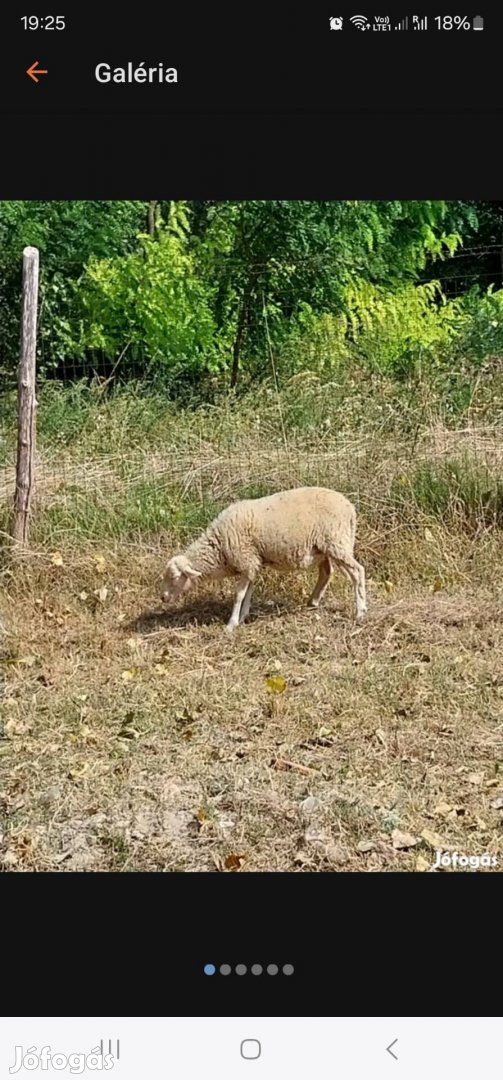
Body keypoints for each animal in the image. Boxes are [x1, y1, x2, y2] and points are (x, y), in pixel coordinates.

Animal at [159, 486, 364, 630]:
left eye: (174, 577)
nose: (162, 597)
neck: (219, 547)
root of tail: (350, 508)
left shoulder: (246, 560)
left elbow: (239, 594)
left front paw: (231, 624)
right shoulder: (252, 563)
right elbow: (249, 590)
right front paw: (243, 616)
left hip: (336, 541)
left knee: (357, 571)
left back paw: (361, 611)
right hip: (325, 548)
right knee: (326, 573)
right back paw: (313, 601)